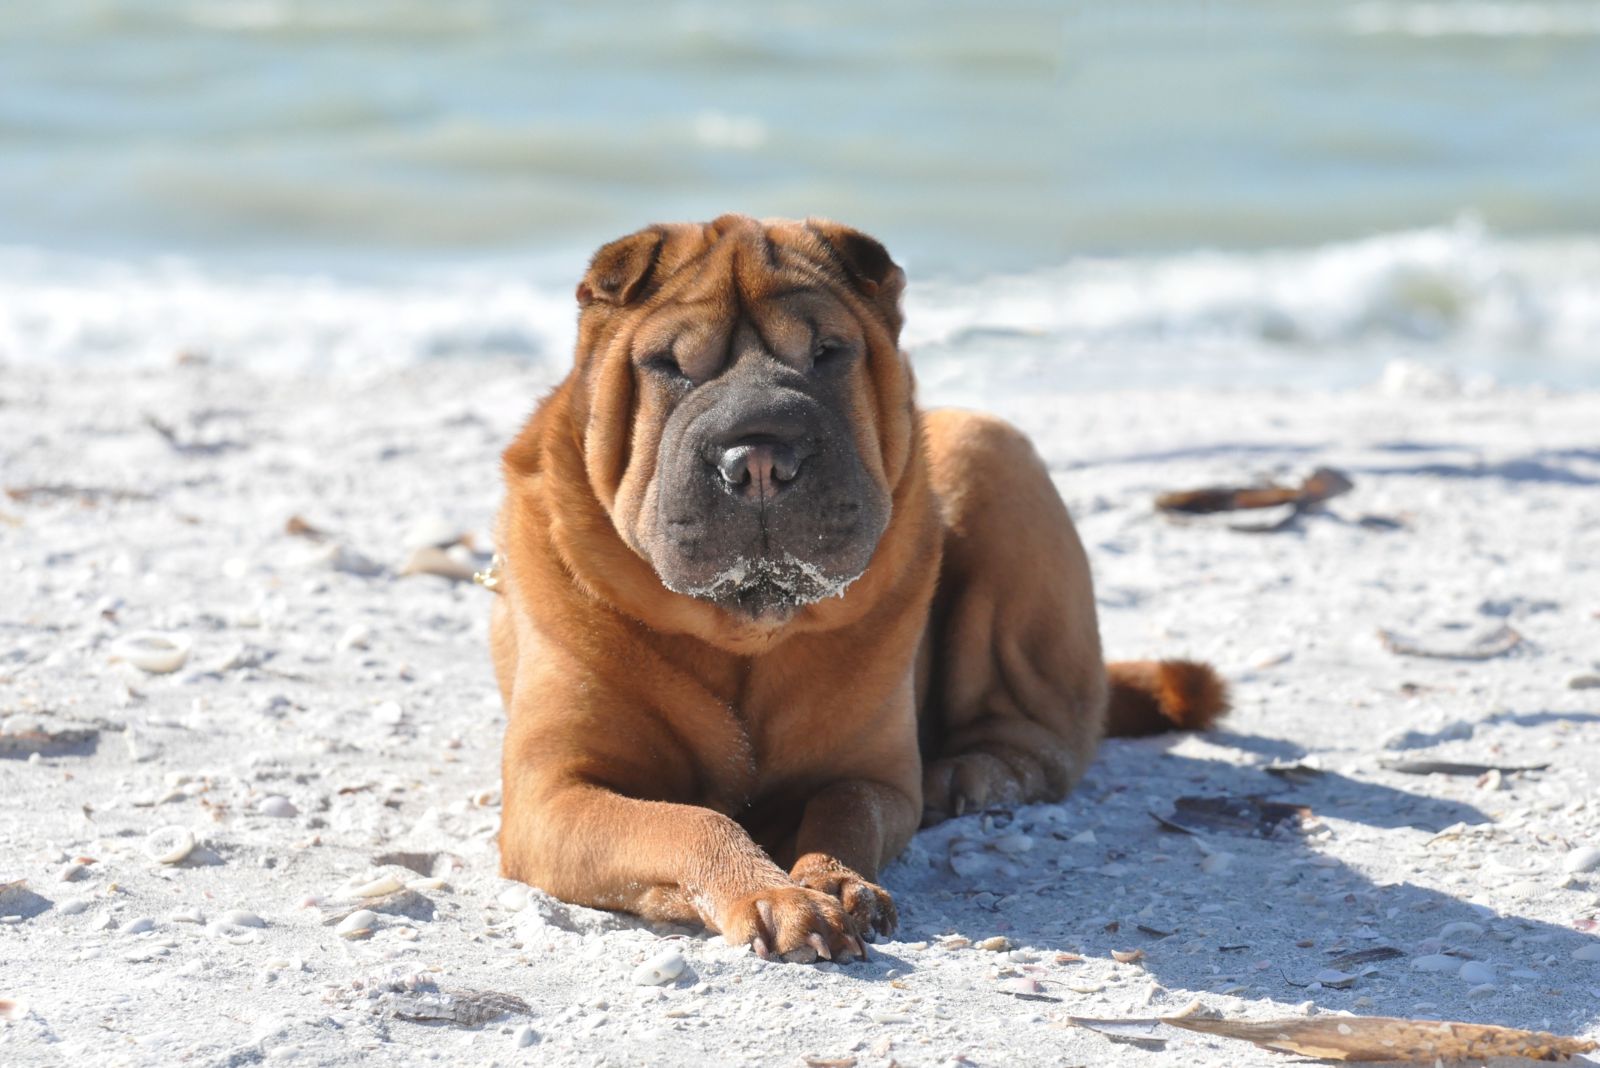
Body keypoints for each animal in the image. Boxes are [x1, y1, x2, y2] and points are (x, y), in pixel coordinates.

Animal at [489, 214, 1222, 959]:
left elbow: (845, 807)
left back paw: (974, 773)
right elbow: (688, 822)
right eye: (669, 364)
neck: (744, 638)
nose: (759, 455)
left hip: (988, 451)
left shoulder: (876, 774)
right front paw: (774, 893)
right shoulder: (554, 792)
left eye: (827, 354)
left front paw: (836, 883)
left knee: (1041, 735)